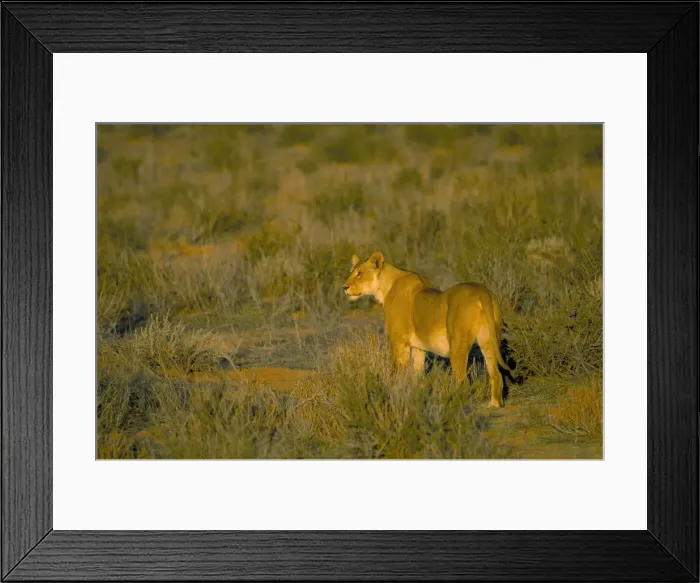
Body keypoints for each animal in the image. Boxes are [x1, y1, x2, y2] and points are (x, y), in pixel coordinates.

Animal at [343, 251, 510, 408]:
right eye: (351, 272)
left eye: (359, 273)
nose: (344, 287)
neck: (384, 287)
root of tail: (482, 292)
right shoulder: (419, 347)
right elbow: (417, 373)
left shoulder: (398, 341)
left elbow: (398, 373)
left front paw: (395, 393)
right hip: (488, 339)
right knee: (496, 374)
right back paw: (494, 405)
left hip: (457, 344)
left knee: (463, 380)